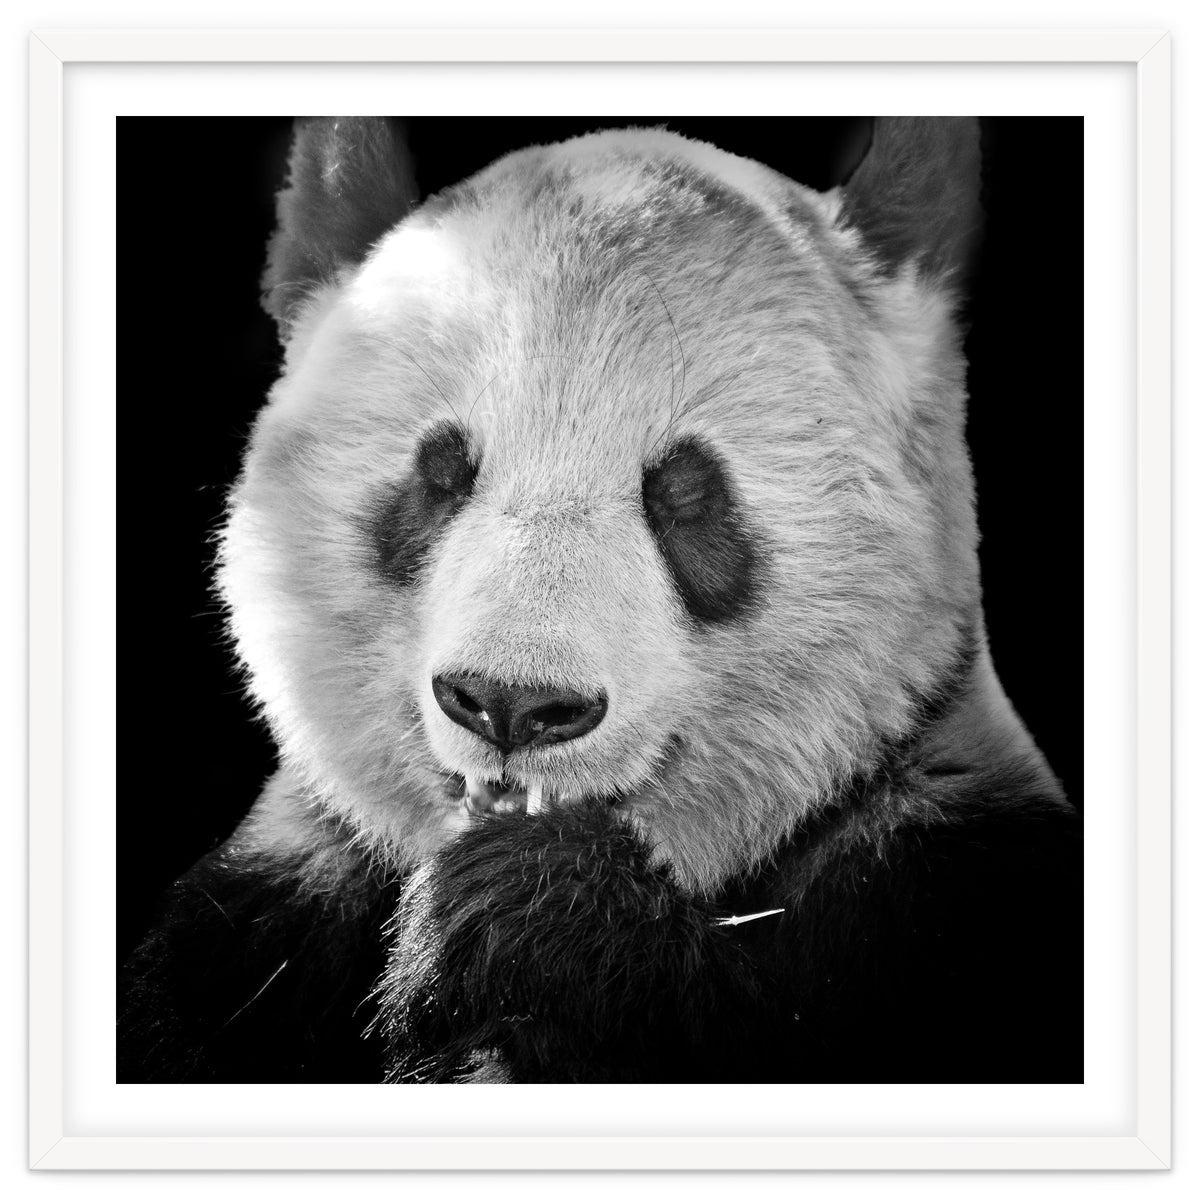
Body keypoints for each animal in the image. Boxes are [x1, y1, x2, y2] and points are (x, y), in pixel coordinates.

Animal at [119, 116, 1082, 1085]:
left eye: (685, 494)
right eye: (441, 473)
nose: (512, 704)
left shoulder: (944, 888)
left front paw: (531, 914)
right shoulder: (258, 923)